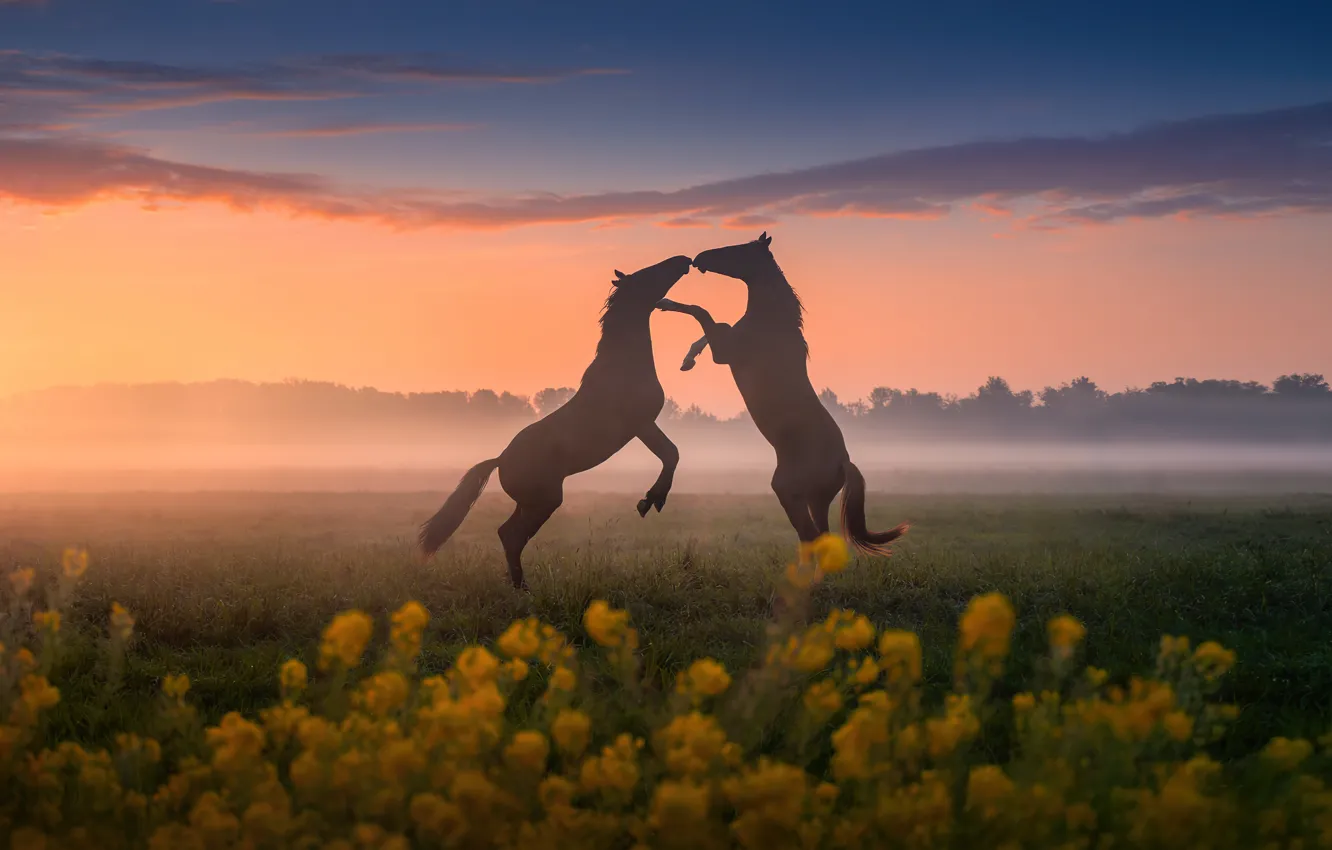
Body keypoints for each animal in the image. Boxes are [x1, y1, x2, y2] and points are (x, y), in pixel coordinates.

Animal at [419, 254, 694, 589]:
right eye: (646, 275)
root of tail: (500, 459)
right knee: (512, 536)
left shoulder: (646, 426)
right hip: (544, 501)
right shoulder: (641, 424)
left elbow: (671, 453)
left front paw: (650, 500)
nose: (683, 260)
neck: (624, 365)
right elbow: (671, 454)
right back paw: (523, 588)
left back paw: (519, 585)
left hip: (531, 503)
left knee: (507, 533)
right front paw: (651, 500)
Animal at [655, 233, 908, 554]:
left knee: (810, 535)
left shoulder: (725, 353)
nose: (698, 259)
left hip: (790, 493)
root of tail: (843, 462)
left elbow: (704, 313)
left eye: (739, 250)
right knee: (819, 537)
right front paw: (687, 360)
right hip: (816, 500)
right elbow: (712, 324)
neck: (770, 324)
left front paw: (664, 302)